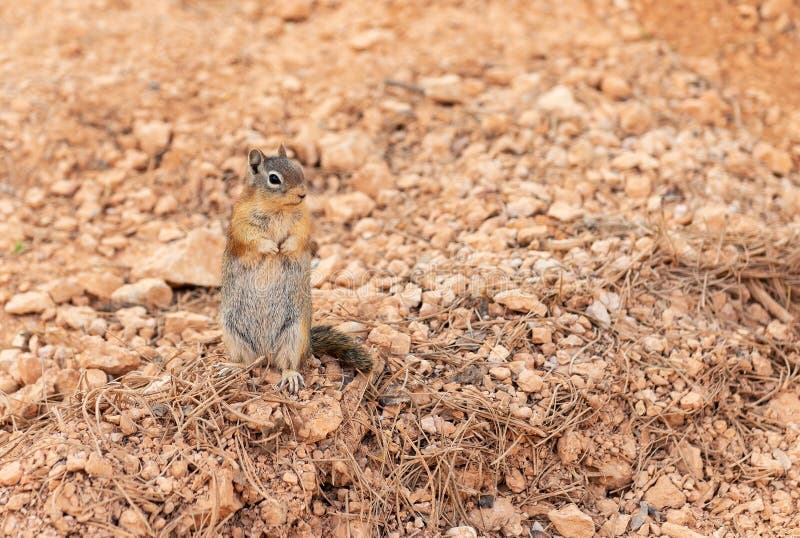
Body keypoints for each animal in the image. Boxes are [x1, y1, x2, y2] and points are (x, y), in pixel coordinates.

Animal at [220, 144, 374, 392]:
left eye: (299, 169)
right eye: (274, 178)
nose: (303, 194)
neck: (278, 209)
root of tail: (267, 352)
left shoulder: (303, 223)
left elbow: (299, 237)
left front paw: (285, 247)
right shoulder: (241, 222)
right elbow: (252, 238)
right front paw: (271, 247)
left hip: (295, 334)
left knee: (287, 364)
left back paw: (290, 376)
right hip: (233, 333)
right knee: (248, 363)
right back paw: (234, 367)